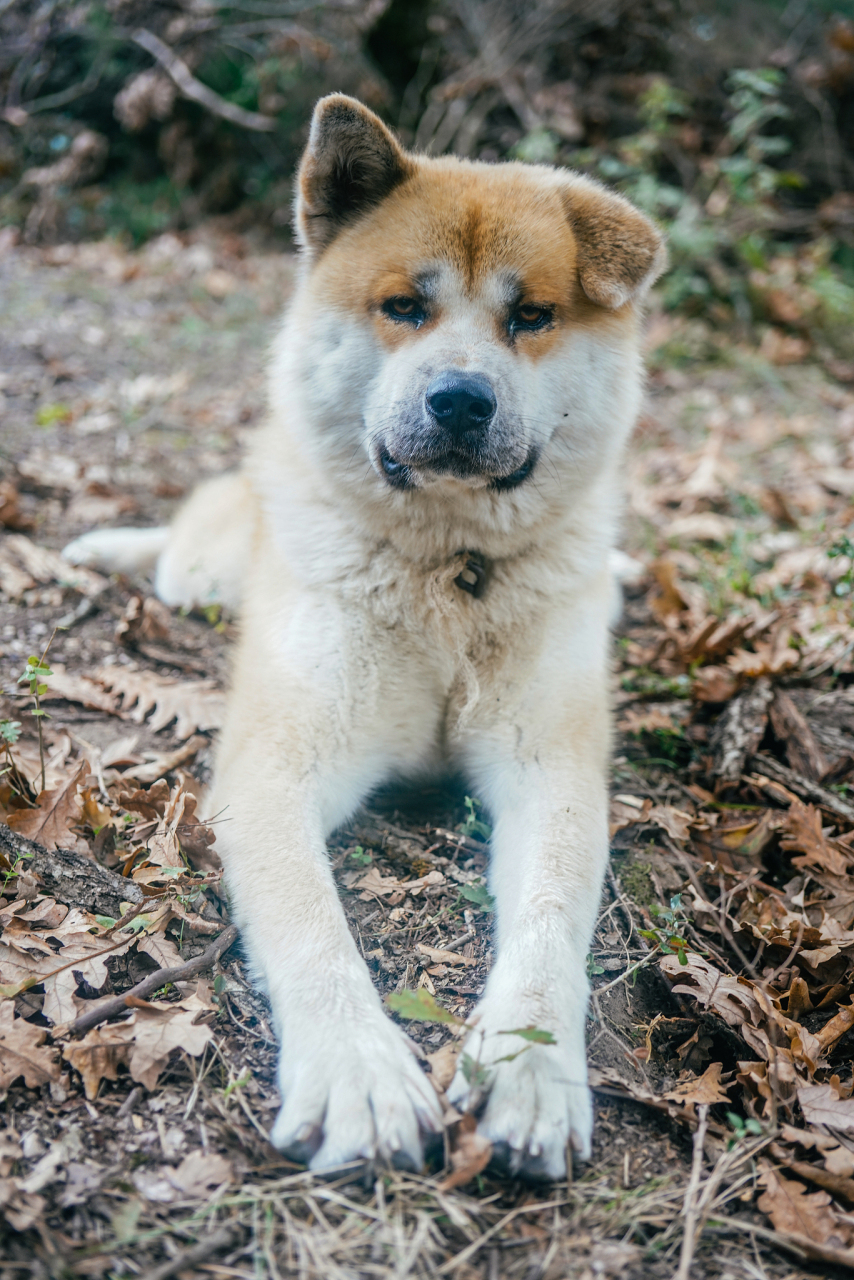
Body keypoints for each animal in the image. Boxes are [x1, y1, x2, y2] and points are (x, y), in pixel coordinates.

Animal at [66, 94, 665, 1177]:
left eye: (529, 316)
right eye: (404, 308)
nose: (460, 399)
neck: (445, 572)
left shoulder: (551, 770)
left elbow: (549, 918)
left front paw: (528, 1067)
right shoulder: (275, 769)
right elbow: (313, 926)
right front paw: (357, 1072)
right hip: (204, 567)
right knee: (178, 550)